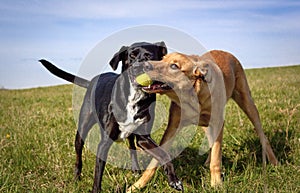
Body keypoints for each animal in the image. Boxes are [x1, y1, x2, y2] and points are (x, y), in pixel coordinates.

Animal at [38, 41, 183, 191]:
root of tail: (92, 81)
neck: (134, 97)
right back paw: (76, 178)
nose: (138, 67)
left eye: (150, 56)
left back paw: (135, 169)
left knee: (132, 147)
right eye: (131, 56)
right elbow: (98, 175)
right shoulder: (104, 142)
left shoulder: (143, 138)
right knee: (78, 154)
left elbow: (164, 154)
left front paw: (174, 180)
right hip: (82, 127)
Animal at [127, 49, 278, 191]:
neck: (192, 97)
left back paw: (274, 162)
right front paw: (137, 185)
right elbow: (154, 162)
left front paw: (216, 184)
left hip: (247, 102)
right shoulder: (172, 128)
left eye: (174, 66)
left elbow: (216, 159)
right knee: (211, 141)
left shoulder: (218, 123)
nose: (142, 65)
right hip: (207, 125)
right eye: (162, 59)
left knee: (262, 136)